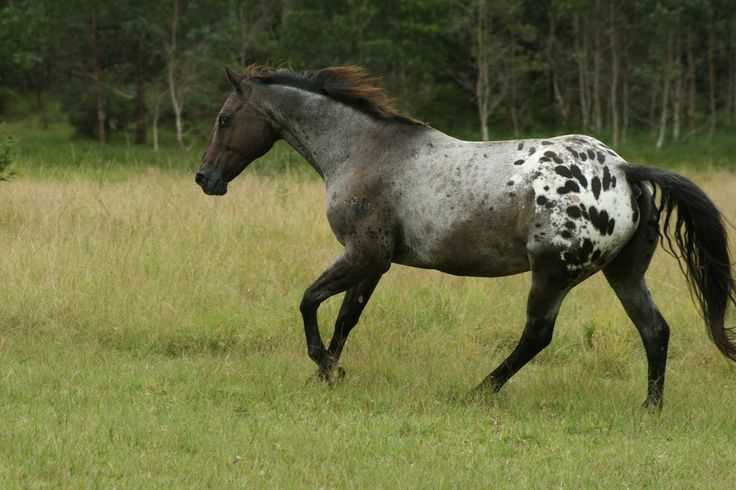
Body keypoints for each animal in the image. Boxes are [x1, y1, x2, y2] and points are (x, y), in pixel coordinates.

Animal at [196, 66, 736, 410]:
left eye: (224, 119)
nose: (205, 178)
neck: (362, 150)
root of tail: (625, 170)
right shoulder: (374, 261)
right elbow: (347, 318)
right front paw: (328, 374)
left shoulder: (362, 254)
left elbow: (309, 301)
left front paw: (325, 368)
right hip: (624, 275)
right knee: (655, 330)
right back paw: (650, 408)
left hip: (552, 274)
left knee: (537, 336)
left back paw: (479, 391)